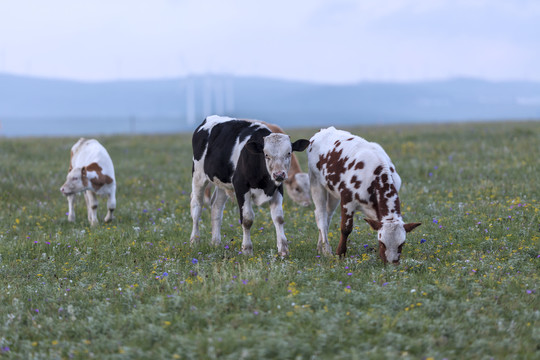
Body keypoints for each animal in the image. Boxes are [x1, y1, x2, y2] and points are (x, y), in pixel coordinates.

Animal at [191, 116, 310, 256]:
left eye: (289, 153)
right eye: (266, 154)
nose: (279, 174)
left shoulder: (277, 188)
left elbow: (279, 218)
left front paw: (283, 250)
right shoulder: (241, 187)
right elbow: (247, 219)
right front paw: (247, 250)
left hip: (222, 183)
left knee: (216, 207)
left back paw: (215, 242)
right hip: (198, 176)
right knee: (197, 207)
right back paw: (194, 240)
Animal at [308, 128, 422, 262]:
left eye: (402, 244)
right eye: (382, 243)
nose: (391, 263)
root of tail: (324, 130)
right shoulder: (347, 199)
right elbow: (346, 228)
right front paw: (340, 253)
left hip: (333, 193)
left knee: (327, 216)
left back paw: (320, 247)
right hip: (316, 183)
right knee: (321, 215)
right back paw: (326, 250)